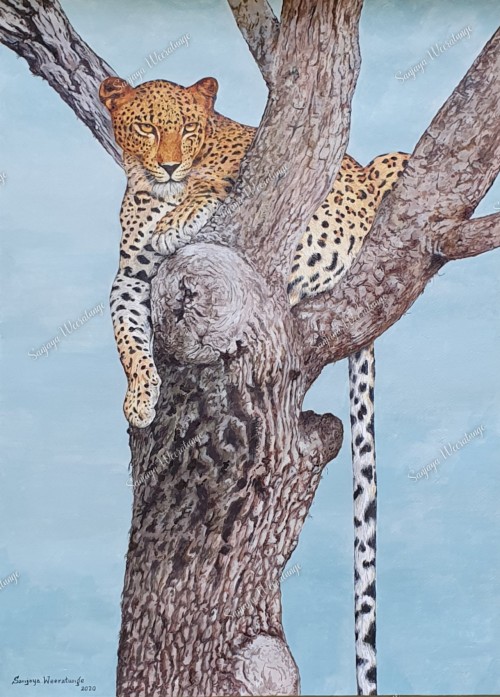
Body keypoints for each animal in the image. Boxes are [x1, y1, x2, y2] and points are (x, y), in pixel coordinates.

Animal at [99, 75, 408, 696]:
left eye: (187, 127)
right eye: (144, 127)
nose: (169, 166)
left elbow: (208, 189)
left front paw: (185, 206)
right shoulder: (130, 277)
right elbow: (123, 327)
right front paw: (140, 397)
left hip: (369, 183)